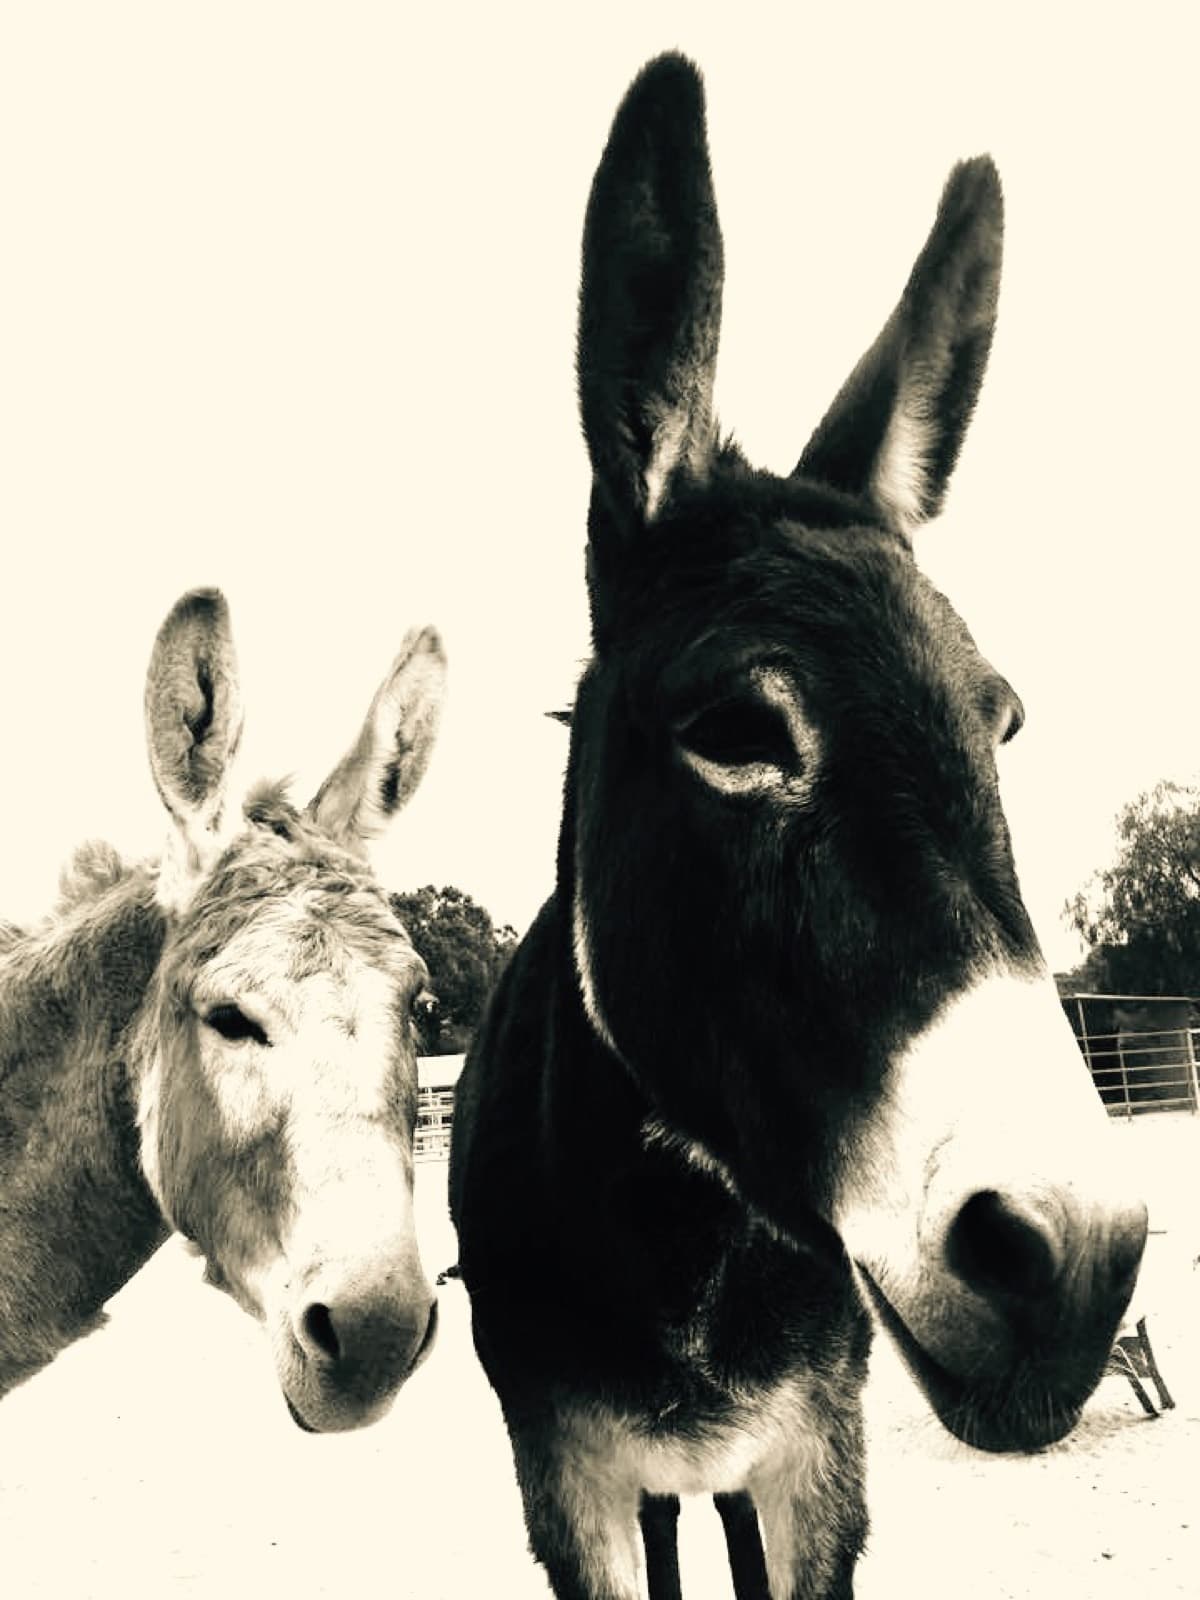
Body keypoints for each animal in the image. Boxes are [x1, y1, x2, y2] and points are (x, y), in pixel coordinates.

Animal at [448, 53, 1148, 1600]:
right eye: (735, 735)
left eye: (1003, 725)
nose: (1077, 1260)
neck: (695, 1241)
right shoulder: (568, 1473)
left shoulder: (814, 1459)